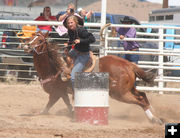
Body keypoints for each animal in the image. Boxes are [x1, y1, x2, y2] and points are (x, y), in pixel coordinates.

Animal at [22, 31, 163, 124]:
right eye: (31, 37)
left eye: (40, 41)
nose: (26, 46)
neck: (55, 67)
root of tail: (128, 64)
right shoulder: (61, 93)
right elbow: (62, 106)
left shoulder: (57, 92)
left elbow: (47, 108)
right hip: (128, 88)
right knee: (143, 95)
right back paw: (156, 113)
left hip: (119, 93)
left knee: (140, 100)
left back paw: (154, 119)